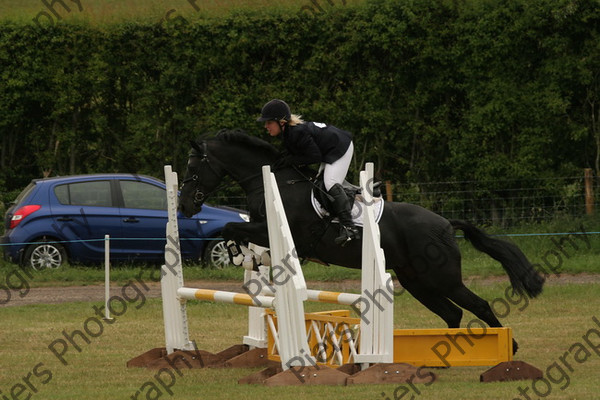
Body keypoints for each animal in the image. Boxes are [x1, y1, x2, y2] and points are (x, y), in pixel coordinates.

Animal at [178, 130, 544, 352]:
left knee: (477, 305)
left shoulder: (281, 231)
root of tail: (443, 223)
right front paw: (249, 259)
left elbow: (231, 227)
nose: (184, 206)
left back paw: (507, 346)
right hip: (417, 281)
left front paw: (240, 256)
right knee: (451, 313)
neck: (272, 180)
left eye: (194, 168)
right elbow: (236, 231)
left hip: (442, 278)